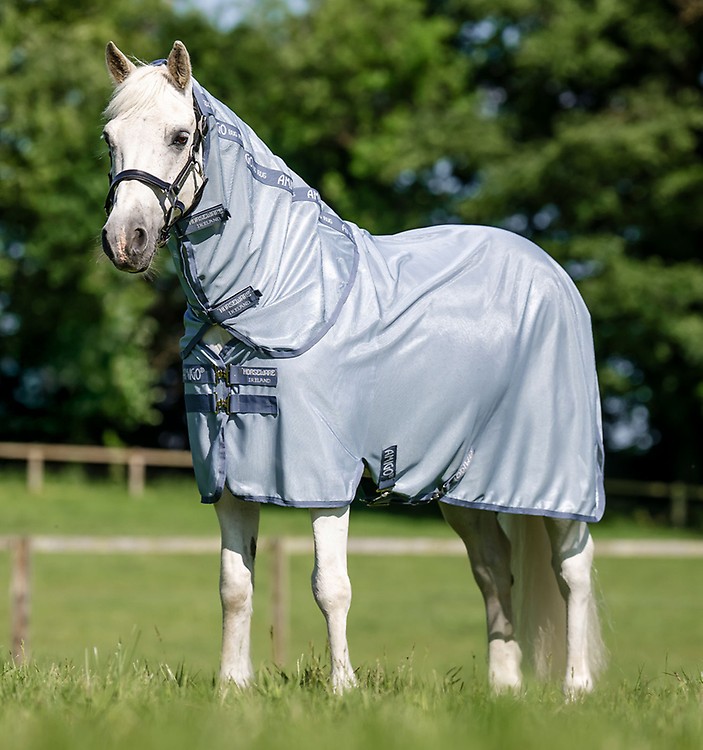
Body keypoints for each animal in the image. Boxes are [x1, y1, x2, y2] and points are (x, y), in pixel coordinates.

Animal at [101, 40, 607, 696]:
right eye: (110, 138)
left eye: (179, 135)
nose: (125, 241)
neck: (282, 291)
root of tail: (555, 275)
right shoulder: (230, 476)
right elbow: (234, 587)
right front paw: (232, 687)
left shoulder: (323, 478)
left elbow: (330, 587)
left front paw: (343, 688)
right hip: (463, 485)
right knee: (495, 570)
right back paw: (503, 689)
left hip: (558, 479)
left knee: (573, 570)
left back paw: (576, 688)